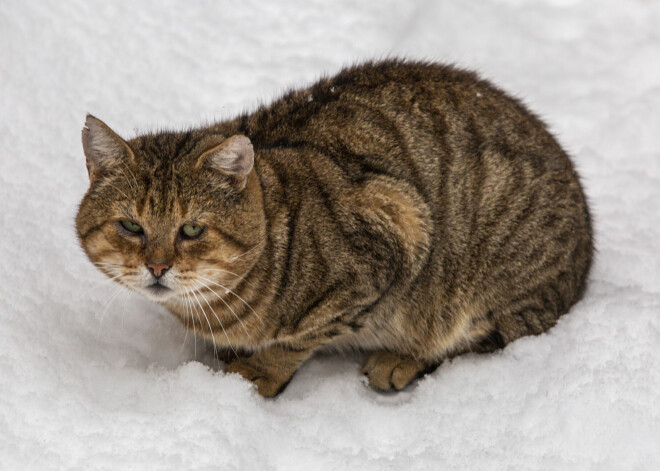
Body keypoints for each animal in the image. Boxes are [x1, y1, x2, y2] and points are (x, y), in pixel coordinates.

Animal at [76, 60, 592, 398]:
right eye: (131, 225)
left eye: (191, 230)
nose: (157, 266)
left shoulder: (396, 229)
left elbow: (296, 340)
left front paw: (261, 373)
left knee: (484, 340)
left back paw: (399, 360)